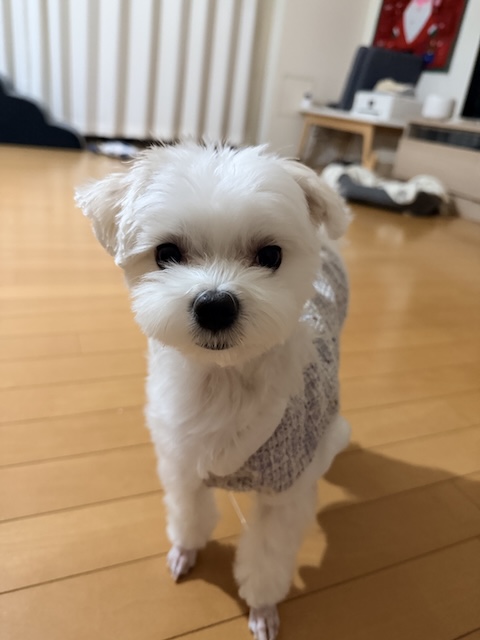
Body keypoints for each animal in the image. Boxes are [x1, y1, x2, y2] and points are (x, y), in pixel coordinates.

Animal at [76, 142, 351, 640]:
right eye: (166, 252)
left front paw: (262, 608)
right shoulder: (181, 460)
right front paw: (185, 551)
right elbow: (189, 513)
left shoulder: (285, 494)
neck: (224, 383)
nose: (215, 305)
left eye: (270, 255)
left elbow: (266, 559)